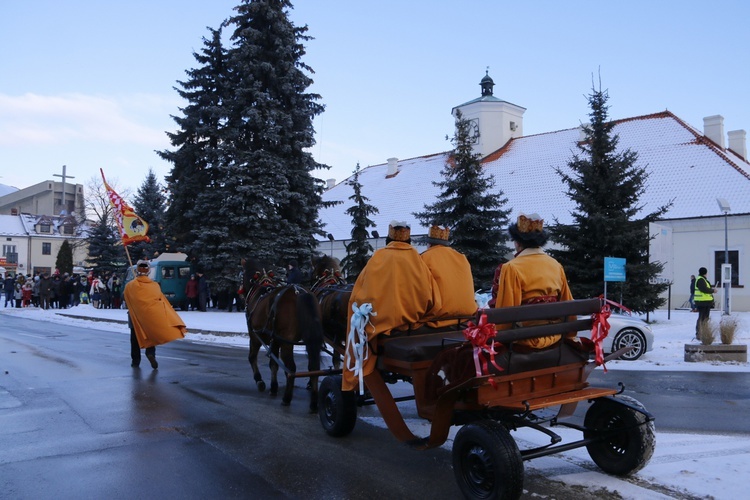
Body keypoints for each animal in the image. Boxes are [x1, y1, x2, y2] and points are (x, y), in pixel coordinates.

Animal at [241, 256, 324, 412]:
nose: (241, 292)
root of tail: (300, 293)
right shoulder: (275, 339)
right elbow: (273, 364)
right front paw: (273, 388)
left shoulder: (255, 336)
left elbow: (252, 357)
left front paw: (260, 380)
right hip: (310, 340)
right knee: (313, 367)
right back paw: (314, 403)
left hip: (286, 342)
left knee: (291, 368)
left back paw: (286, 398)